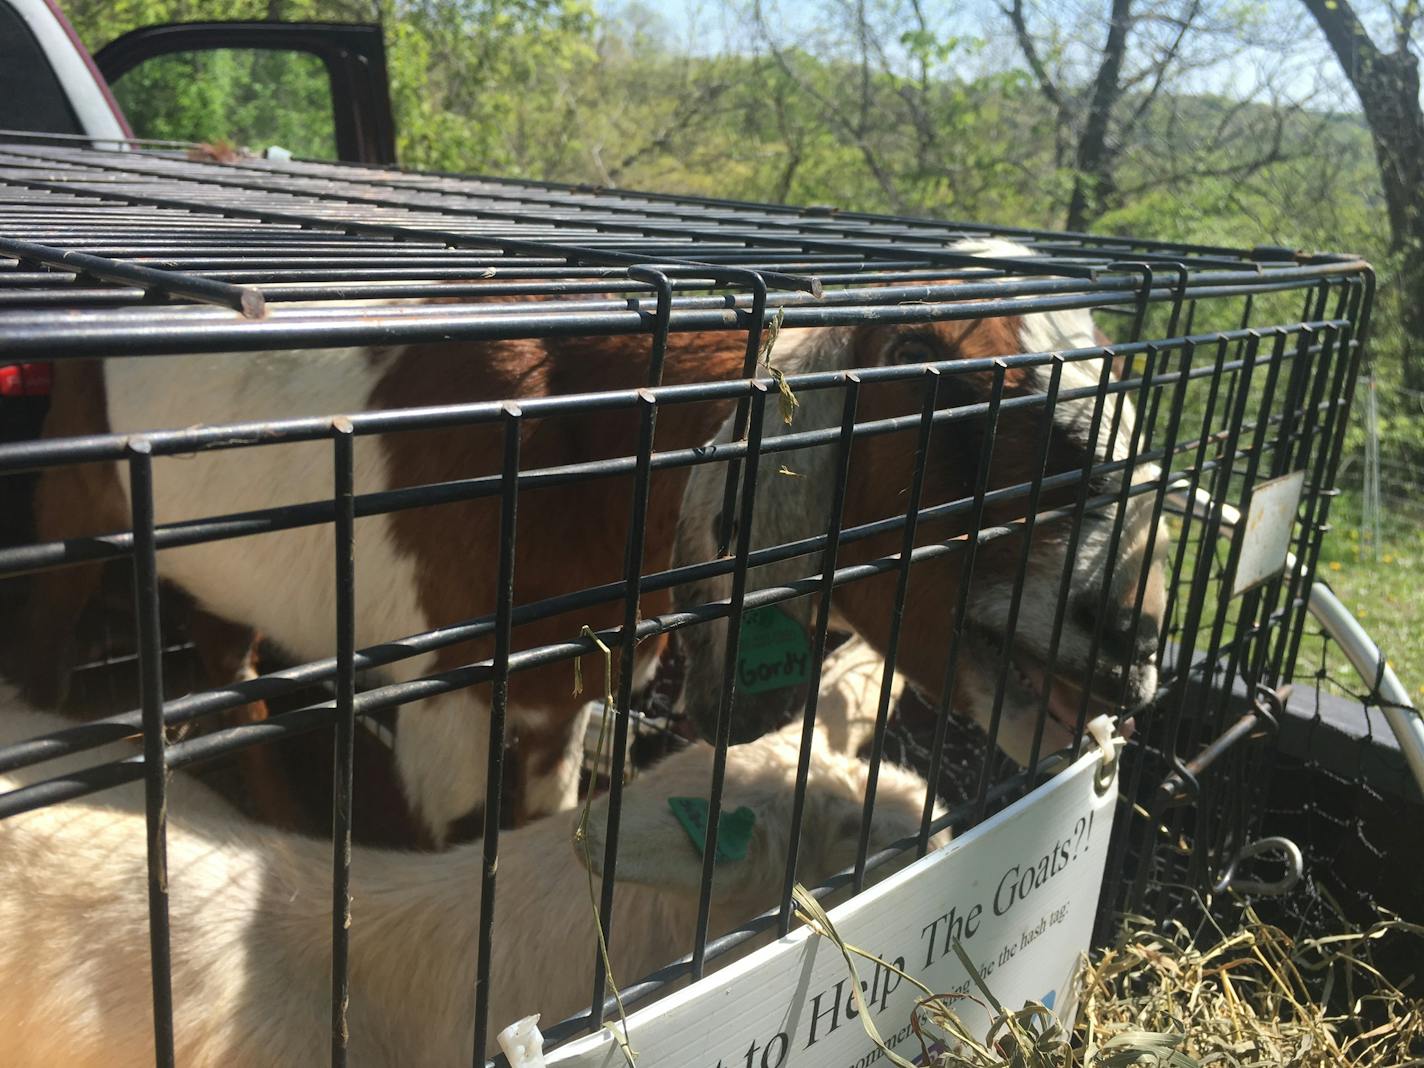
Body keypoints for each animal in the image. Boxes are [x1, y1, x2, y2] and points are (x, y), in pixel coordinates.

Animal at [13, 236, 1156, 843]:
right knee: (54, 633)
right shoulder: (455, 703)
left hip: (214, 561)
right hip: (73, 499)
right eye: (949, 384)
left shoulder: (563, 693)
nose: (1134, 629)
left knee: (224, 657)